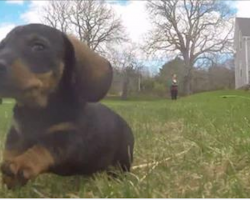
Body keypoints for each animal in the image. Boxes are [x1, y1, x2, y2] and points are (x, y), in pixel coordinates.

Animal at [0, 23, 135, 189]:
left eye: (38, 46)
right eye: (2, 46)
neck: (36, 111)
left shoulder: (70, 139)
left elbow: (43, 147)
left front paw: (22, 163)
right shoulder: (16, 133)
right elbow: (11, 149)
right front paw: (9, 175)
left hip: (122, 162)